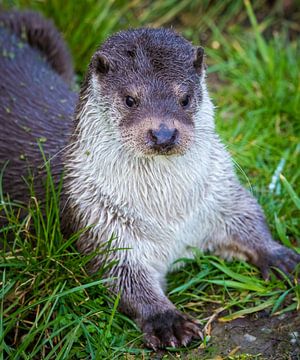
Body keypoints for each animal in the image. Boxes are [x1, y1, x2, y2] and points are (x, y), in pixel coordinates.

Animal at [0, 10, 300, 348]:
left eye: (185, 98)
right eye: (130, 99)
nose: (163, 132)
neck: (170, 214)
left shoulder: (222, 195)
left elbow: (250, 215)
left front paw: (279, 256)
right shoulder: (99, 222)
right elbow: (121, 277)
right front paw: (167, 321)